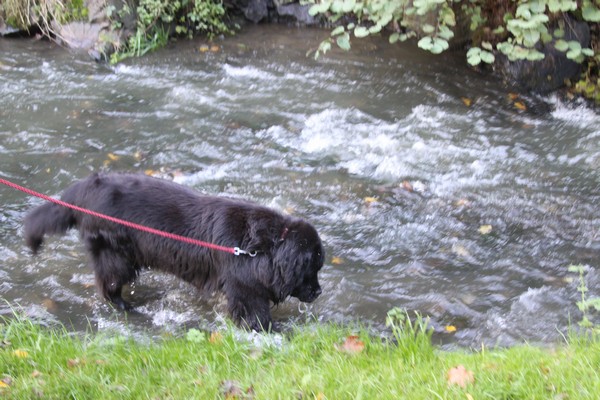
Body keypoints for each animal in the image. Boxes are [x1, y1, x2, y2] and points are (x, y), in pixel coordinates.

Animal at [24, 172, 324, 330]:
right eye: (311, 269)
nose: (319, 291)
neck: (259, 249)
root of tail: (85, 187)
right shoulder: (245, 289)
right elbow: (255, 313)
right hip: (116, 255)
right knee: (109, 283)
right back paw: (126, 307)